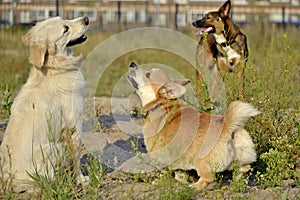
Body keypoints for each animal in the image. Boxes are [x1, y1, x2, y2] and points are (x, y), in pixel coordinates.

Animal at [0, 16, 89, 192]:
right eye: (65, 29)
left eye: (64, 18)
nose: (87, 18)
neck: (54, 69)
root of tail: (7, 179)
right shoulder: (74, 127)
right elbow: (76, 160)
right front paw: (81, 180)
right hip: (55, 147)